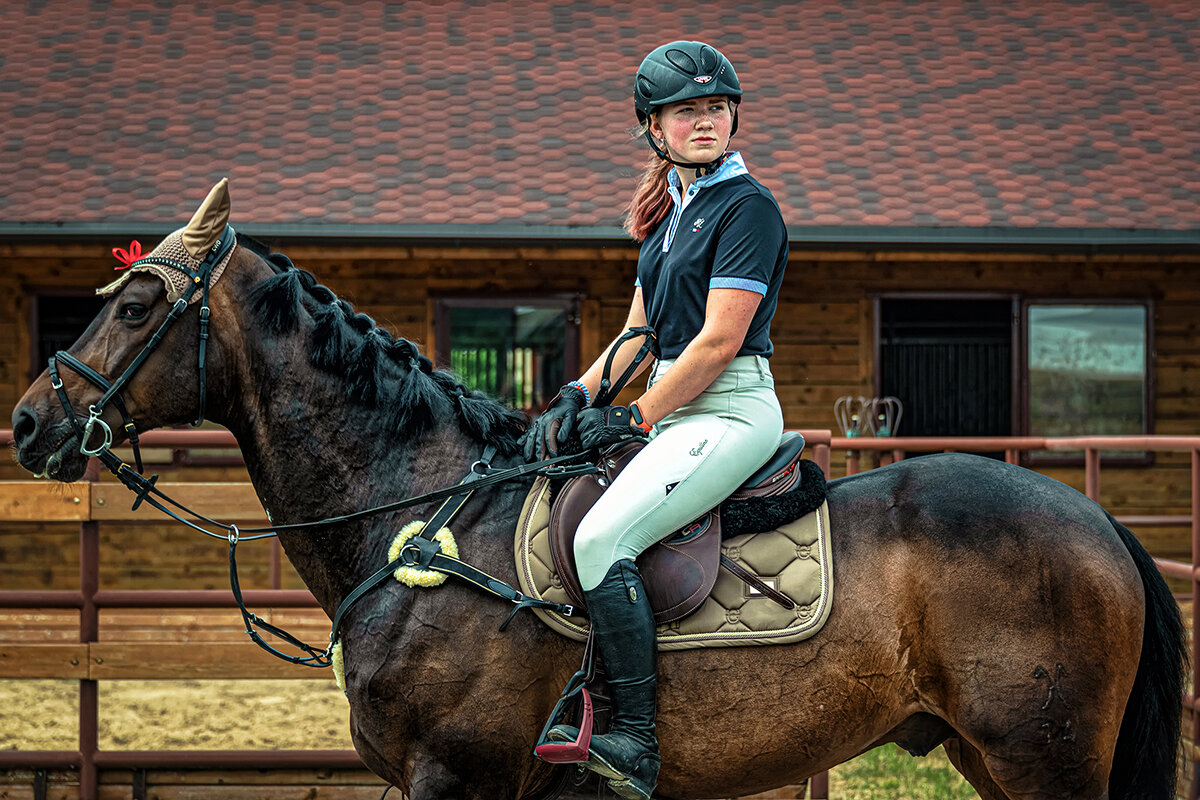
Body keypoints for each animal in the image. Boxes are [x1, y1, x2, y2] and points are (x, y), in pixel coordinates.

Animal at [9, 184, 1185, 796]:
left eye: (133, 306)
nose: (28, 422)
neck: (422, 517)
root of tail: (1100, 522)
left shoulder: (460, 777)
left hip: (1043, 759)